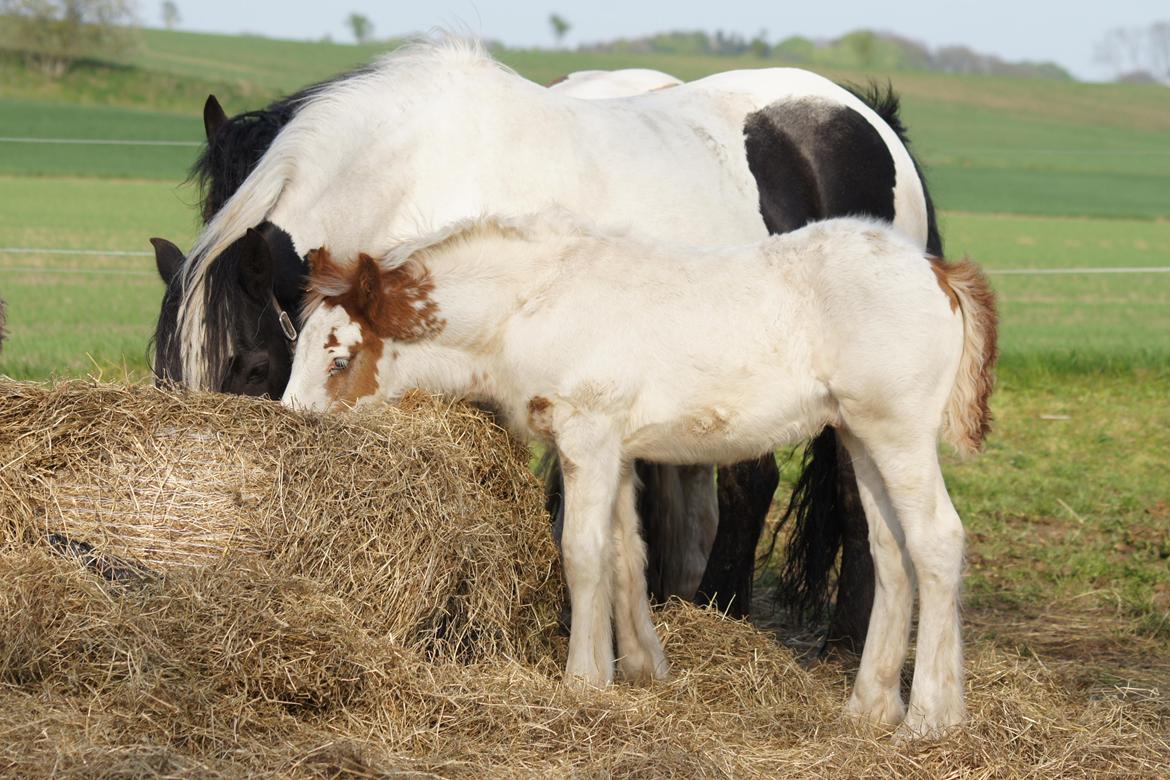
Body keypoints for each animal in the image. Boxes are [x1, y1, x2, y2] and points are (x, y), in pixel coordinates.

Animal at [153, 38, 940, 645]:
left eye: (249, 365)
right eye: (164, 368)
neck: (417, 175)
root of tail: (871, 121)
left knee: (840, 491)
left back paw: (832, 639)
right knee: (750, 482)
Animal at [280, 214, 996, 739]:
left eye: (339, 359)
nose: (290, 422)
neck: (532, 303)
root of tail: (937, 270)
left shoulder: (587, 435)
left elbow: (582, 552)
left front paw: (583, 679)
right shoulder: (618, 450)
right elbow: (627, 554)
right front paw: (642, 669)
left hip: (897, 432)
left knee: (937, 541)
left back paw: (931, 717)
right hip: (858, 436)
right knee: (891, 551)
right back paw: (871, 707)